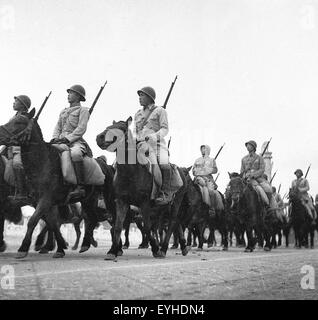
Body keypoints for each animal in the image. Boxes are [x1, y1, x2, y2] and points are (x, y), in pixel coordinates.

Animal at [0, 109, 115, 258]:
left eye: (19, 122)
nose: (0, 133)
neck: (42, 163)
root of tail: (105, 164)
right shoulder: (42, 202)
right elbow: (52, 224)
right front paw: (59, 248)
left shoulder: (45, 200)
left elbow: (33, 221)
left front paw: (24, 248)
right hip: (88, 200)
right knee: (92, 219)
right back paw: (86, 244)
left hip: (106, 200)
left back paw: (113, 249)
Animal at [95, 117, 189, 260]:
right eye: (109, 126)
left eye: (121, 128)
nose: (99, 137)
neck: (131, 172)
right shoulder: (122, 202)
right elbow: (117, 227)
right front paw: (112, 251)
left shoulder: (145, 204)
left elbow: (147, 227)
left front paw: (155, 249)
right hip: (166, 205)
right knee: (176, 222)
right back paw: (183, 247)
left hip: (176, 202)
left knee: (172, 222)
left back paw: (163, 249)